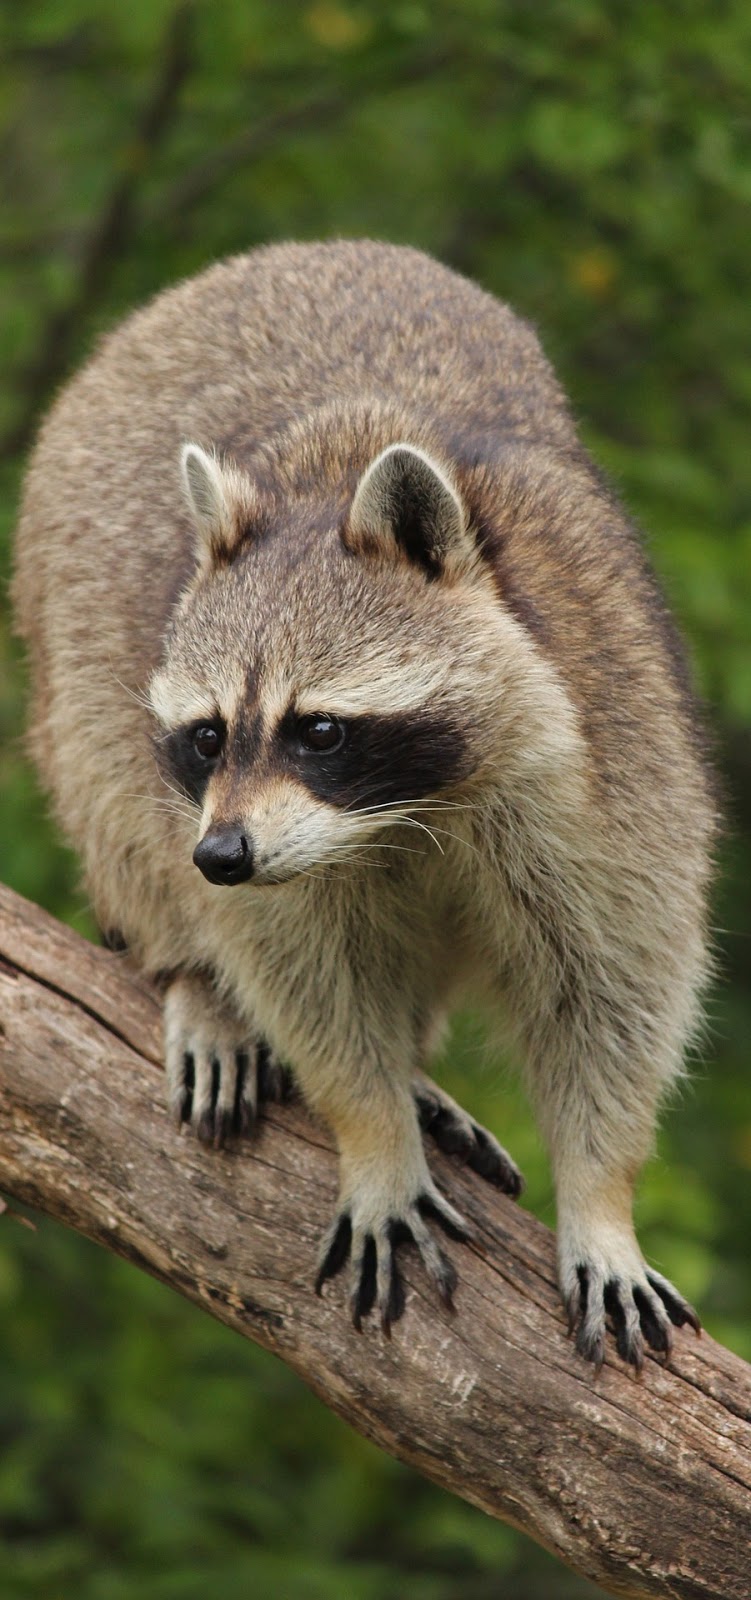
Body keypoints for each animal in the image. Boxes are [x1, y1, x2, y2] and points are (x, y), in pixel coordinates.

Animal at [14, 243, 710, 1369]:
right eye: (209, 735)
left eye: (319, 730)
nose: (222, 856)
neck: (398, 812)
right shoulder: (235, 830)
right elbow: (304, 978)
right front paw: (371, 1130)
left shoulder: (613, 753)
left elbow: (612, 986)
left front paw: (603, 1198)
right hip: (67, 640)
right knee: (113, 797)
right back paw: (198, 981)